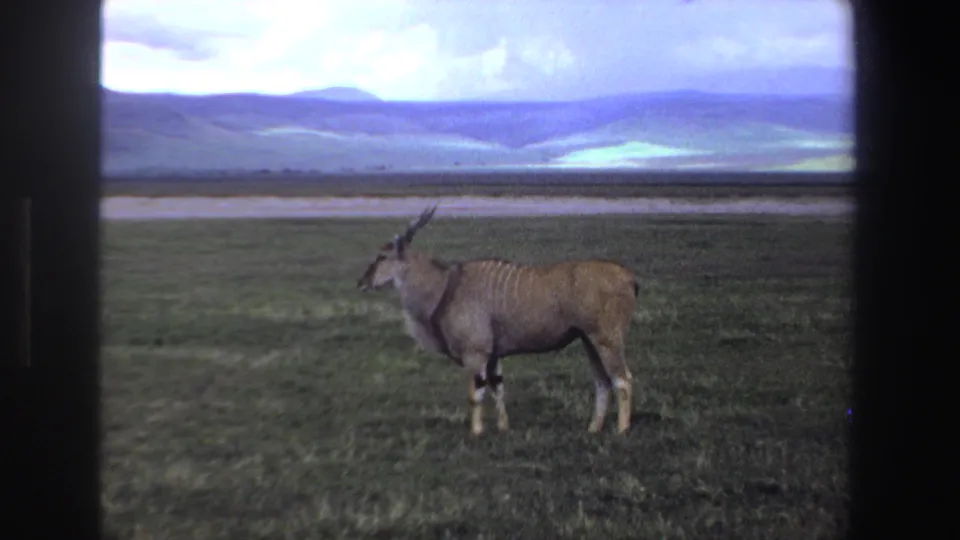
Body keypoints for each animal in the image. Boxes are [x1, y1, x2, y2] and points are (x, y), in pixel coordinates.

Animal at [356, 205, 639, 435]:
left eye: (382, 257)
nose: (362, 283)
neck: (445, 285)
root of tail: (629, 277)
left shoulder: (475, 353)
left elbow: (476, 393)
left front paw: (477, 431)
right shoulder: (492, 356)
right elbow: (497, 388)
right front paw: (504, 427)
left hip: (606, 339)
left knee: (623, 379)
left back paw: (621, 429)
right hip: (588, 341)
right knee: (602, 382)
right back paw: (594, 428)